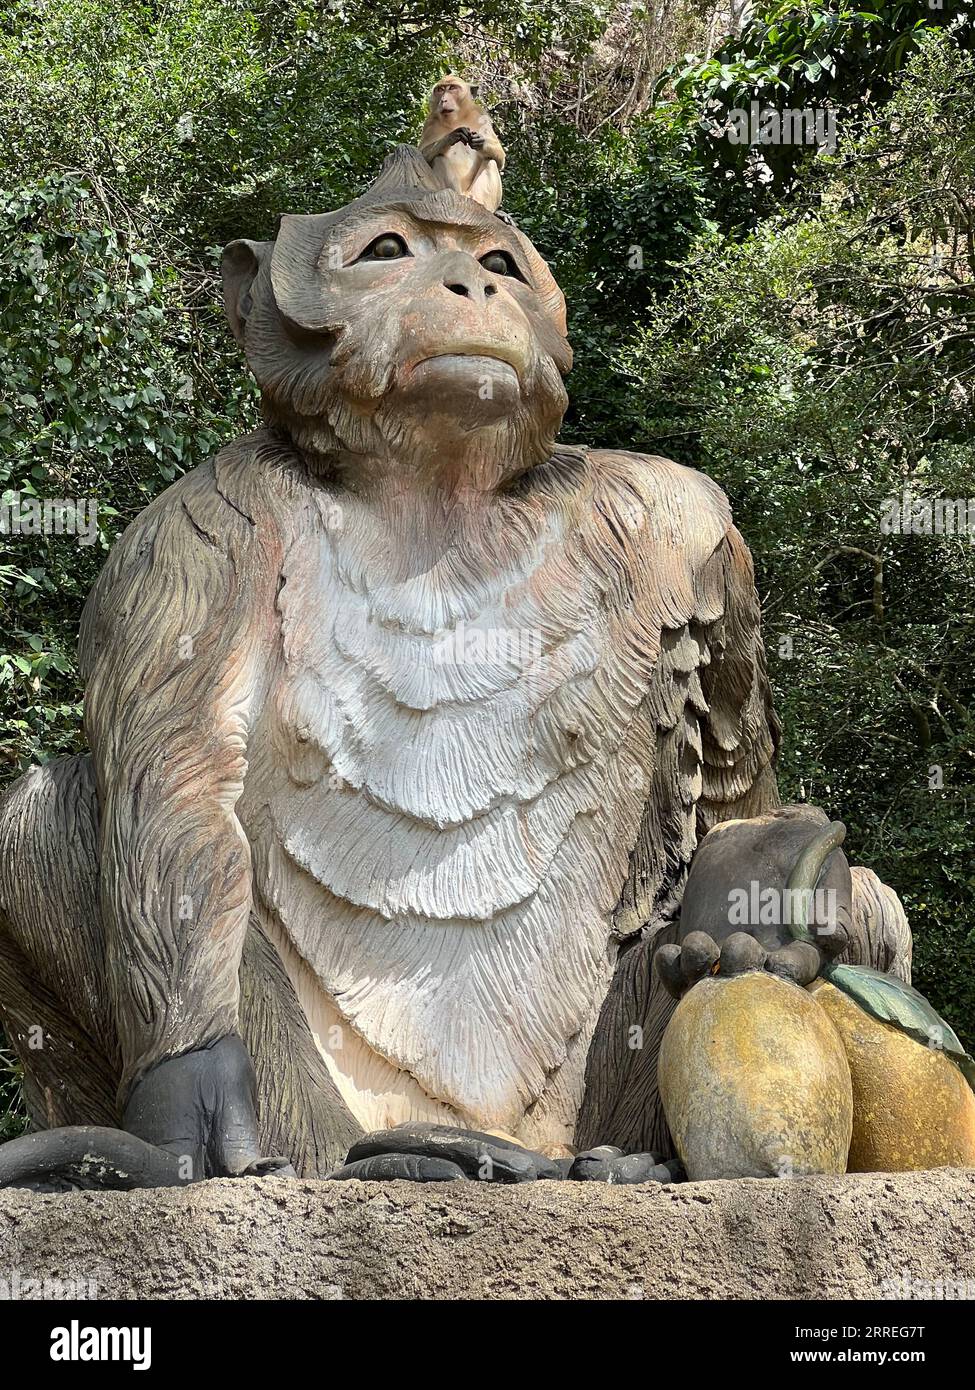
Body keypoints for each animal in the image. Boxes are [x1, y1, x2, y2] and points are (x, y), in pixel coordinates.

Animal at [417, 74, 506, 212]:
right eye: (440, 90)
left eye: (452, 88)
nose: (443, 100)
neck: (456, 119)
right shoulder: (430, 122)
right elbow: (421, 155)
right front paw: (451, 136)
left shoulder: (481, 116)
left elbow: (500, 158)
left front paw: (480, 142)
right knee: (438, 157)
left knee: (490, 160)